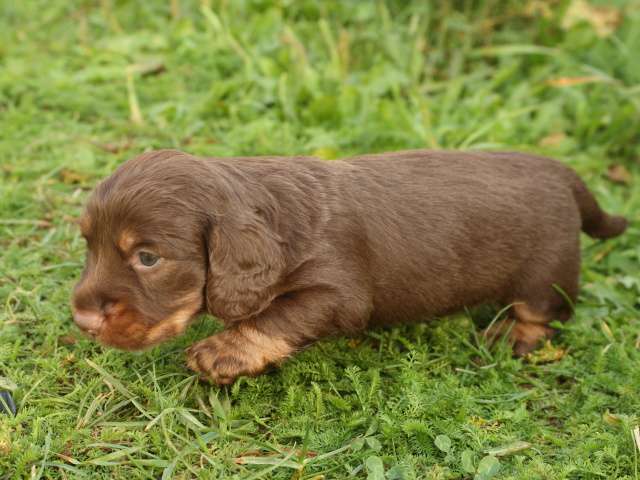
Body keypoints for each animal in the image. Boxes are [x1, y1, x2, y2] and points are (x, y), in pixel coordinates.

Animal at [72, 149, 628, 382]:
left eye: (147, 258)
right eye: (89, 246)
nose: (81, 319)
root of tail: (562, 172)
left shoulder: (337, 293)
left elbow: (273, 316)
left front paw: (224, 352)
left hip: (545, 272)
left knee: (546, 311)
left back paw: (516, 334)